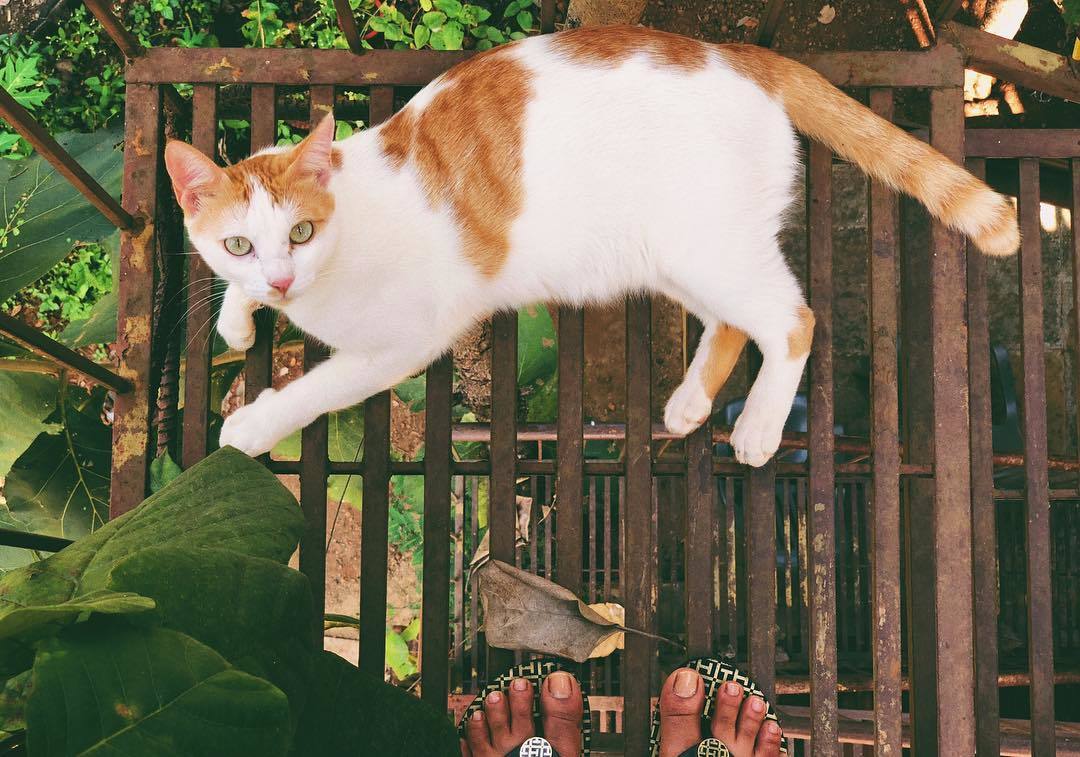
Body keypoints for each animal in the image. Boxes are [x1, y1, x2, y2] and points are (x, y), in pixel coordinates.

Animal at [164, 25, 1015, 466]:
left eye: (302, 232)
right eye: (238, 243)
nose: (279, 281)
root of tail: (735, 52)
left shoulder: (400, 345)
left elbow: (314, 390)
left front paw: (251, 426)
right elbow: (234, 303)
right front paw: (237, 319)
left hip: (705, 247)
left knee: (793, 320)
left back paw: (759, 427)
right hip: (676, 253)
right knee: (737, 321)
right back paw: (690, 402)